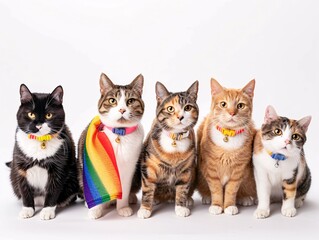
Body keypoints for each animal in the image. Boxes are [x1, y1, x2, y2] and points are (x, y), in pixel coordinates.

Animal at [7, 84, 79, 219]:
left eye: (49, 115)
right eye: (31, 114)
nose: (39, 125)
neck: (40, 141)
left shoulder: (58, 167)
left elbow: (53, 189)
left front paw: (47, 211)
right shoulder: (20, 166)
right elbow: (24, 188)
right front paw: (27, 209)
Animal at [79, 73, 145, 219]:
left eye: (130, 101)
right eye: (112, 100)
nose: (122, 109)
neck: (119, 134)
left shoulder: (129, 167)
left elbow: (124, 189)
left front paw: (123, 207)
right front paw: (95, 209)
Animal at [138, 80, 200, 219]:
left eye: (187, 108)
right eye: (170, 108)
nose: (180, 117)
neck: (175, 138)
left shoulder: (186, 170)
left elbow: (182, 188)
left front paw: (181, 207)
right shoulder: (148, 167)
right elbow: (147, 188)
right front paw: (145, 209)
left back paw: (187, 199)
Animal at [198, 78, 258, 216]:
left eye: (240, 105)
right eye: (223, 104)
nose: (232, 113)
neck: (228, 136)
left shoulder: (238, 171)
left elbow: (231, 190)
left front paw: (229, 205)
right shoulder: (211, 169)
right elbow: (216, 189)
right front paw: (217, 205)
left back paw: (244, 198)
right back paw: (207, 197)